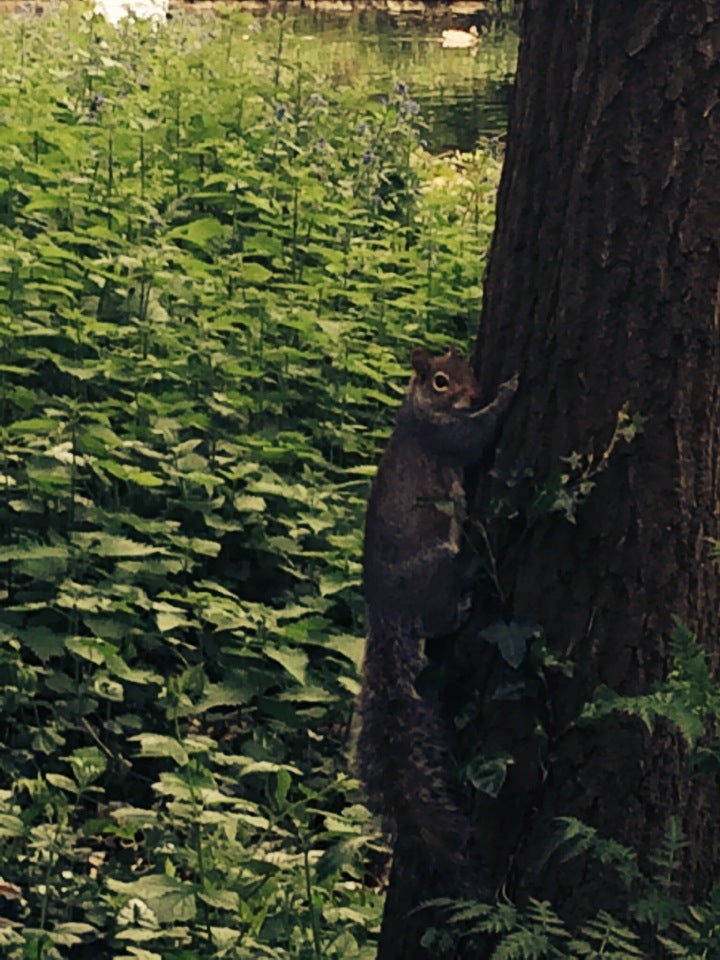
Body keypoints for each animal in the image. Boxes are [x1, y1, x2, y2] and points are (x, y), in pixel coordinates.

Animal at [356, 348, 516, 868]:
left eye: (467, 366)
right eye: (442, 381)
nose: (474, 391)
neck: (417, 406)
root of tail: (386, 612)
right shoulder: (444, 437)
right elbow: (476, 436)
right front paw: (508, 391)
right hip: (441, 565)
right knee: (440, 620)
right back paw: (463, 608)